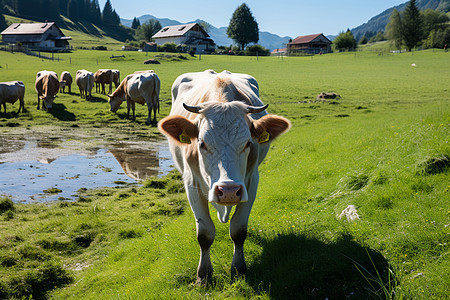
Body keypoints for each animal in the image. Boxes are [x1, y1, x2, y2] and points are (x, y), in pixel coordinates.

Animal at [158, 70, 292, 284]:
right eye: (202, 143)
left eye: (248, 143)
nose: (228, 191)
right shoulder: (191, 184)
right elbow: (204, 234)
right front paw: (203, 275)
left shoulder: (250, 183)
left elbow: (239, 230)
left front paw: (238, 269)